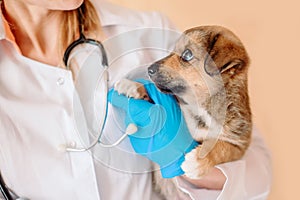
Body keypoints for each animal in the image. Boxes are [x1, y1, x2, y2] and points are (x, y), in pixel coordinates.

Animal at [113, 25, 252, 198]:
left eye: (187, 54)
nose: (149, 69)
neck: (200, 107)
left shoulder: (239, 143)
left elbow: (222, 148)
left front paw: (198, 161)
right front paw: (133, 86)